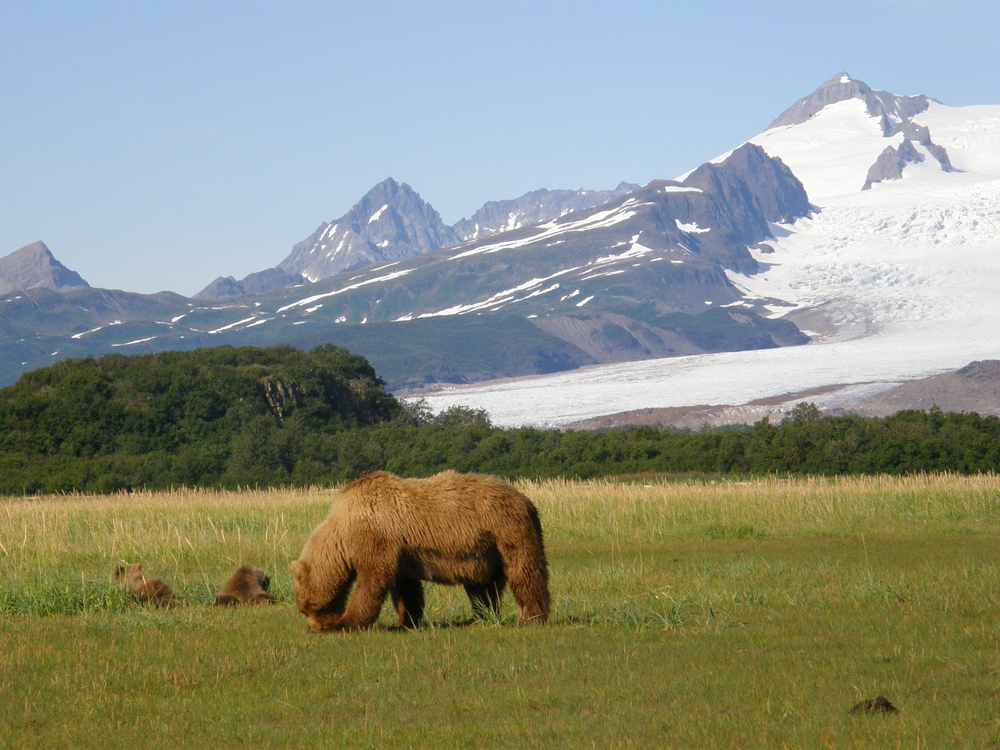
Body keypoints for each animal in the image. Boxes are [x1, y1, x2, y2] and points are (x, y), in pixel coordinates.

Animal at [289, 470, 550, 631]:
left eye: (305, 608)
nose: (313, 627)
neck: (344, 531)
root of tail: (526, 500)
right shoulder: (401, 551)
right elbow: (406, 589)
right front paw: (404, 622)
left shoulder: (376, 536)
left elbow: (371, 582)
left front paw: (347, 623)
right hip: (485, 551)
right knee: (483, 587)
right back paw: (481, 616)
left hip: (505, 528)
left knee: (524, 571)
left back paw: (531, 617)